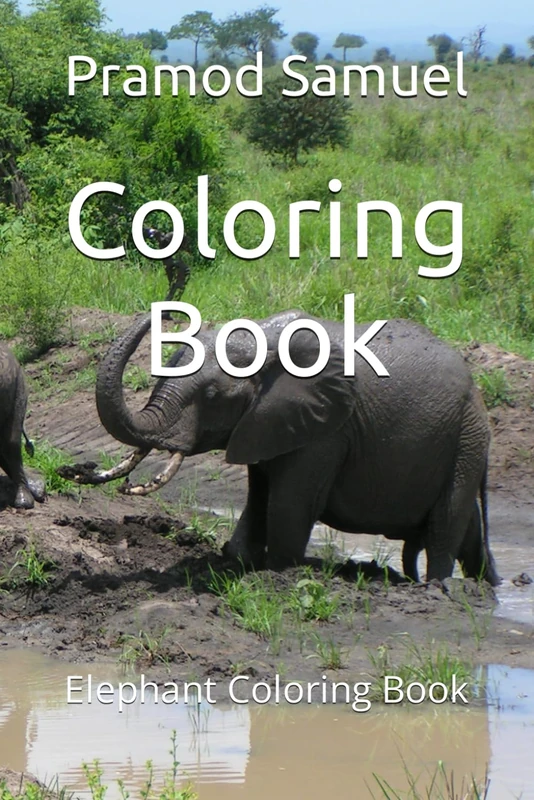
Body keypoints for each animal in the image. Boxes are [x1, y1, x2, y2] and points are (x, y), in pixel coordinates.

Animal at [62, 309, 499, 585]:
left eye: (212, 395)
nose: (75, 469)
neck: (268, 342)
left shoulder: (328, 429)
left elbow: (289, 503)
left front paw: (276, 570)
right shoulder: (267, 423)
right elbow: (259, 493)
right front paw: (235, 558)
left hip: (467, 436)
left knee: (448, 518)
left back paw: (438, 587)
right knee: (467, 527)